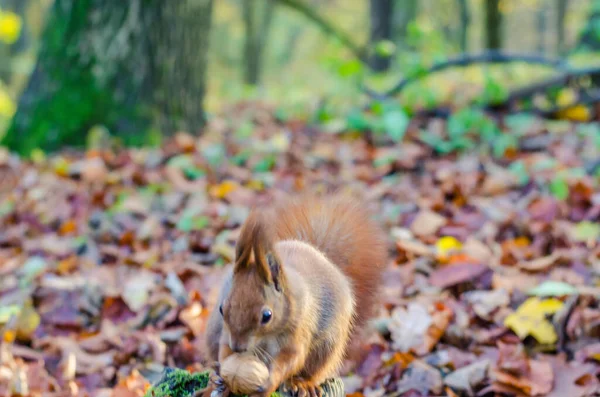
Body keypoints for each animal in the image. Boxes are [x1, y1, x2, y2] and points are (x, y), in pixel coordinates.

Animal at [204, 192, 386, 396]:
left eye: (267, 316)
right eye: (222, 308)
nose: (238, 347)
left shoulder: (298, 330)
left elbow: (291, 358)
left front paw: (269, 382)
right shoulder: (226, 332)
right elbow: (224, 348)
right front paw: (223, 376)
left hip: (326, 346)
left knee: (311, 369)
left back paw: (302, 383)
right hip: (212, 331)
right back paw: (216, 379)